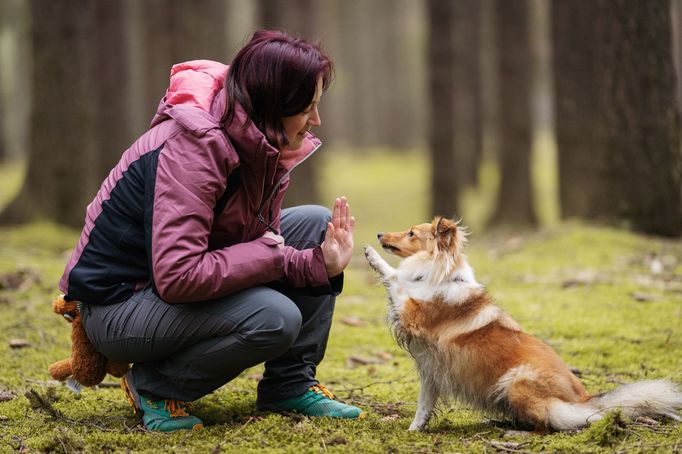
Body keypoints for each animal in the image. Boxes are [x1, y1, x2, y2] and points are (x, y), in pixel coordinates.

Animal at [362, 217, 680, 432]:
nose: (378, 234)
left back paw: (515, 431)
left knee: (548, 424)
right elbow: (424, 405)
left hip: (516, 382)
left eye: (412, 233)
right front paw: (415, 429)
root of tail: (583, 398)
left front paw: (372, 256)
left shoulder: (414, 312)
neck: (438, 273)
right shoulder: (430, 366)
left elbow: (396, 278)